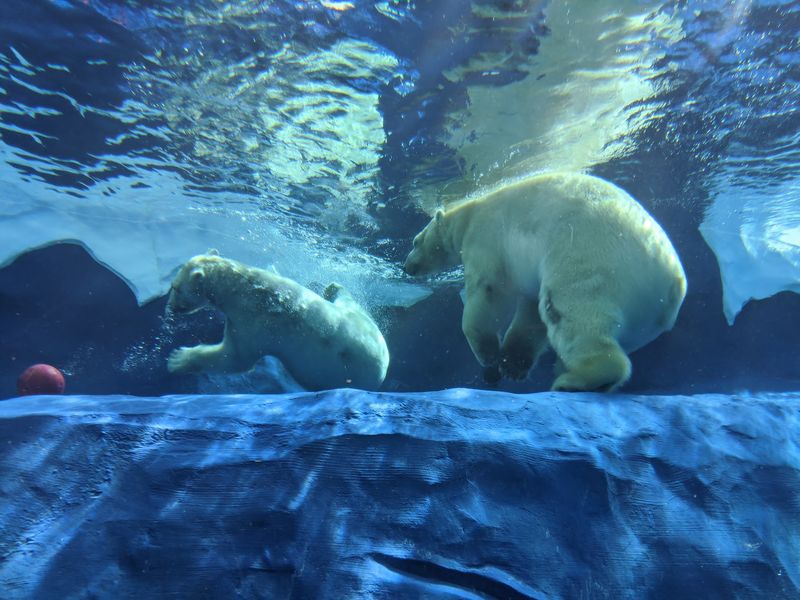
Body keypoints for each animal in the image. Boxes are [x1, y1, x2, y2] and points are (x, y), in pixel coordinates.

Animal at [166, 252, 390, 391]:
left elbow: (234, 359)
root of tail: (385, 366)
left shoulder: (256, 323)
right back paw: (333, 287)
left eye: (174, 287)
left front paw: (178, 359)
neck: (244, 288)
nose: (172, 307)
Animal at [404, 171, 687, 392]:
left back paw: (575, 379)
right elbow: (530, 313)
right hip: (641, 318)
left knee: (569, 312)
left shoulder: (484, 238)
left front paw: (489, 355)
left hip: (593, 259)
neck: (469, 213)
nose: (407, 267)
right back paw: (563, 367)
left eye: (415, 241)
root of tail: (673, 280)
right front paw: (511, 365)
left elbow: (488, 292)